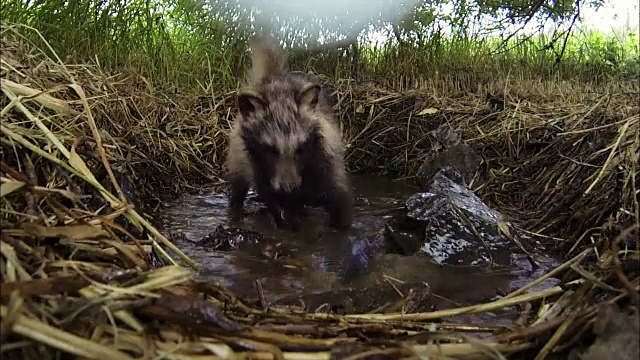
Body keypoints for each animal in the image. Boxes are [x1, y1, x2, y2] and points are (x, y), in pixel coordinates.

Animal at [225, 34, 352, 231]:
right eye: (270, 150)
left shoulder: (327, 160)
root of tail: (275, 78)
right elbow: (277, 206)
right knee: (239, 187)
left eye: (301, 148)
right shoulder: (260, 167)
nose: (288, 190)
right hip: (239, 156)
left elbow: (339, 201)